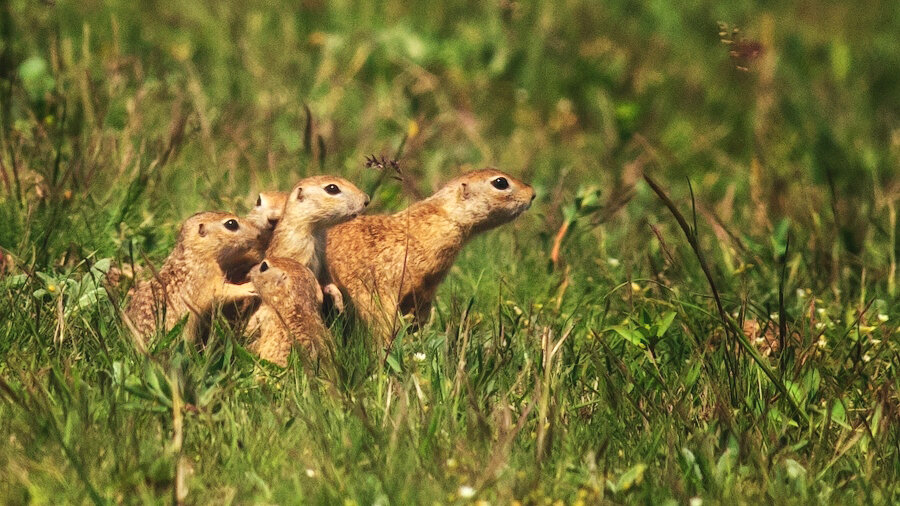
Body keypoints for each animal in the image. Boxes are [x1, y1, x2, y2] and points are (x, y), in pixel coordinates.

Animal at [124, 211, 264, 342]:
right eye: (231, 224)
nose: (259, 234)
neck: (195, 253)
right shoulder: (206, 278)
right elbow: (223, 292)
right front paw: (249, 286)